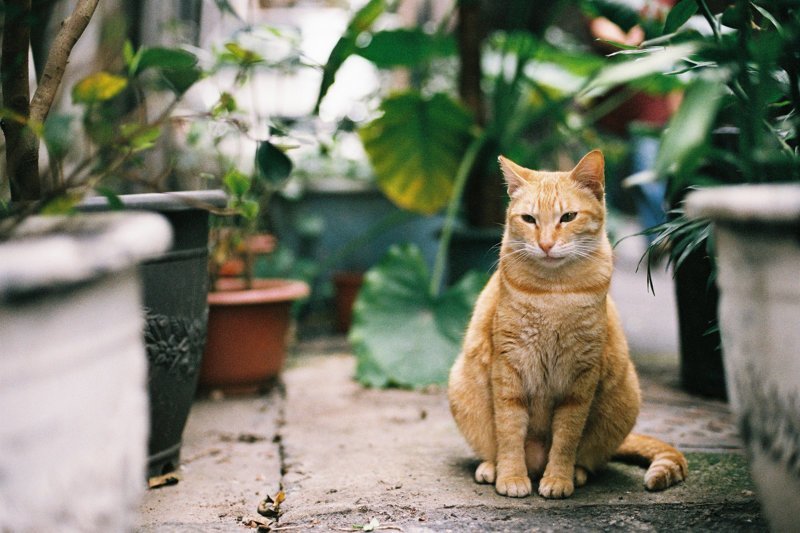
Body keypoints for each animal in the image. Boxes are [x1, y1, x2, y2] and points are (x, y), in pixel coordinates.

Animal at [450, 151, 688, 498]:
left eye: (568, 217)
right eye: (529, 219)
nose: (546, 244)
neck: (554, 292)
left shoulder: (581, 377)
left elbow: (566, 438)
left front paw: (559, 479)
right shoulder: (508, 369)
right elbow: (509, 432)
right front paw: (511, 476)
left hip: (626, 399)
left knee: (588, 458)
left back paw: (575, 473)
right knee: (494, 449)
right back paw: (493, 468)